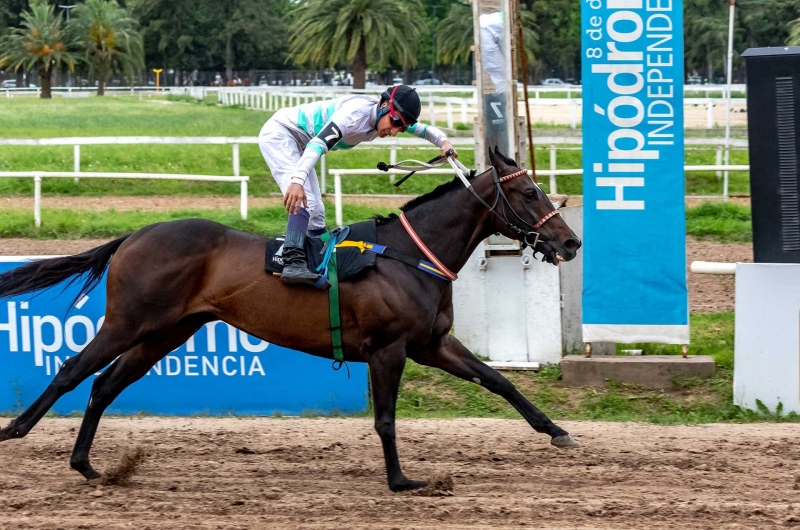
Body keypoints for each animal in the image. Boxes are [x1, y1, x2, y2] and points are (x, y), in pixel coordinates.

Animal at [0, 146, 580, 488]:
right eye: (529, 192)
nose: (570, 242)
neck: (405, 256)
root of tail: (135, 235)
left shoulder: (431, 343)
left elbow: (499, 381)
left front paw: (557, 431)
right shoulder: (388, 349)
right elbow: (386, 419)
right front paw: (401, 481)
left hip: (165, 332)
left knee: (104, 383)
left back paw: (87, 465)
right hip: (129, 321)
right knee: (72, 369)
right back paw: (16, 430)